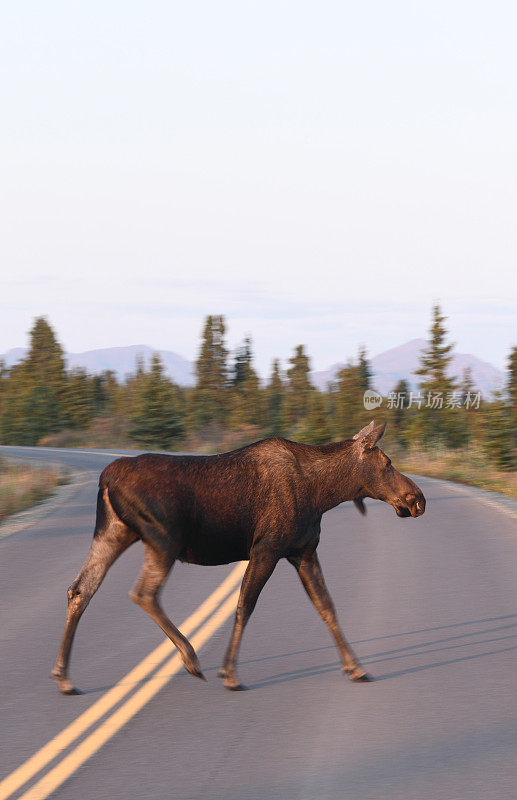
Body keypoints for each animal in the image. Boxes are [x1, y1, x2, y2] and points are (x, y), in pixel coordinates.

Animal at [51, 418, 424, 692]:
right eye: (387, 462)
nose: (417, 498)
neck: (325, 492)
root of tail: (106, 478)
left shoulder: (303, 551)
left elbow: (326, 606)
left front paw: (356, 667)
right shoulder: (267, 548)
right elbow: (245, 605)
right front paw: (230, 673)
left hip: (114, 532)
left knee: (80, 589)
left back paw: (64, 676)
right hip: (163, 539)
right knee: (144, 592)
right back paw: (191, 658)